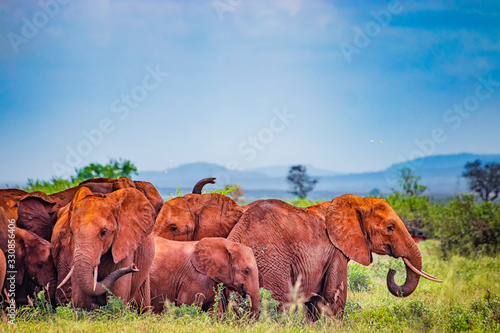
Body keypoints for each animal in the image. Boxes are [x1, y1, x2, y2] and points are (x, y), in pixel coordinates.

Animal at [227, 195, 442, 320]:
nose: (393, 270)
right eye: (390, 228)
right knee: (279, 304)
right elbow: (334, 299)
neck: (354, 203)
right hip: (271, 262)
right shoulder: (336, 252)